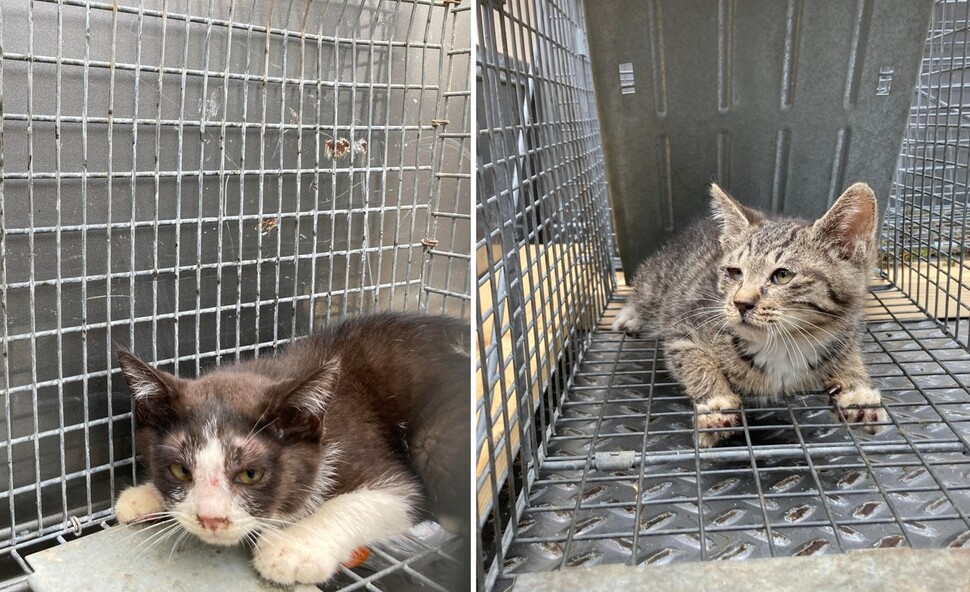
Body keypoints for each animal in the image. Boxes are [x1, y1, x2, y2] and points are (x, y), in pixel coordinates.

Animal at [113, 312, 468, 584]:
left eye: (251, 474)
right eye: (181, 470)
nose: (212, 519)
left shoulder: (376, 458)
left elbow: (385, 497)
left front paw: (292, 547)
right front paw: (145, 495)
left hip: (436, 441)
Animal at [612, 183, 884, 446]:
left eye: (783, 275)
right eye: (734, 272)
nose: (740, 303)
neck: (784, 343)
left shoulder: (848, 330)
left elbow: (851, 356)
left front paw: (857, 391)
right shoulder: (683, 326)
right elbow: (695, 361)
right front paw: (716, 403)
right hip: (658, 280)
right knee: (644, 290)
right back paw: (630, 315)